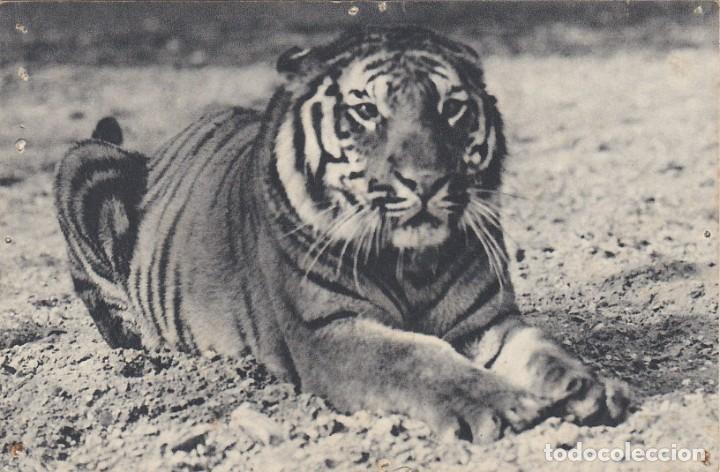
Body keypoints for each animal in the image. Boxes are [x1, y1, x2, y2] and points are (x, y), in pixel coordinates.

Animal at [54, 26, 629, 443]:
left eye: (451, 108)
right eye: (367, 110)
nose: (426, 181)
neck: (413, 261)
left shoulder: (485, 320)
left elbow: (543, 349)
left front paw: (590, 386)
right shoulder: (327, 331)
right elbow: (417, 359)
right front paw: (503, 406)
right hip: (83, 165)